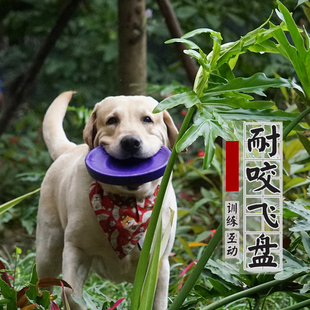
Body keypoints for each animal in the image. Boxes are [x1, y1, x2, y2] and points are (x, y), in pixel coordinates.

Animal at [36, 92, 178, 310]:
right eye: (112, 120)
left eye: (147, 119)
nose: (130, 141)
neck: (125, 204)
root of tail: (70, 149)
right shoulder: (76, 249)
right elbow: (70, 293)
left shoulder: (158, 264)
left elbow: (155, 299)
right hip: (48, 249)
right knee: (45, 282)